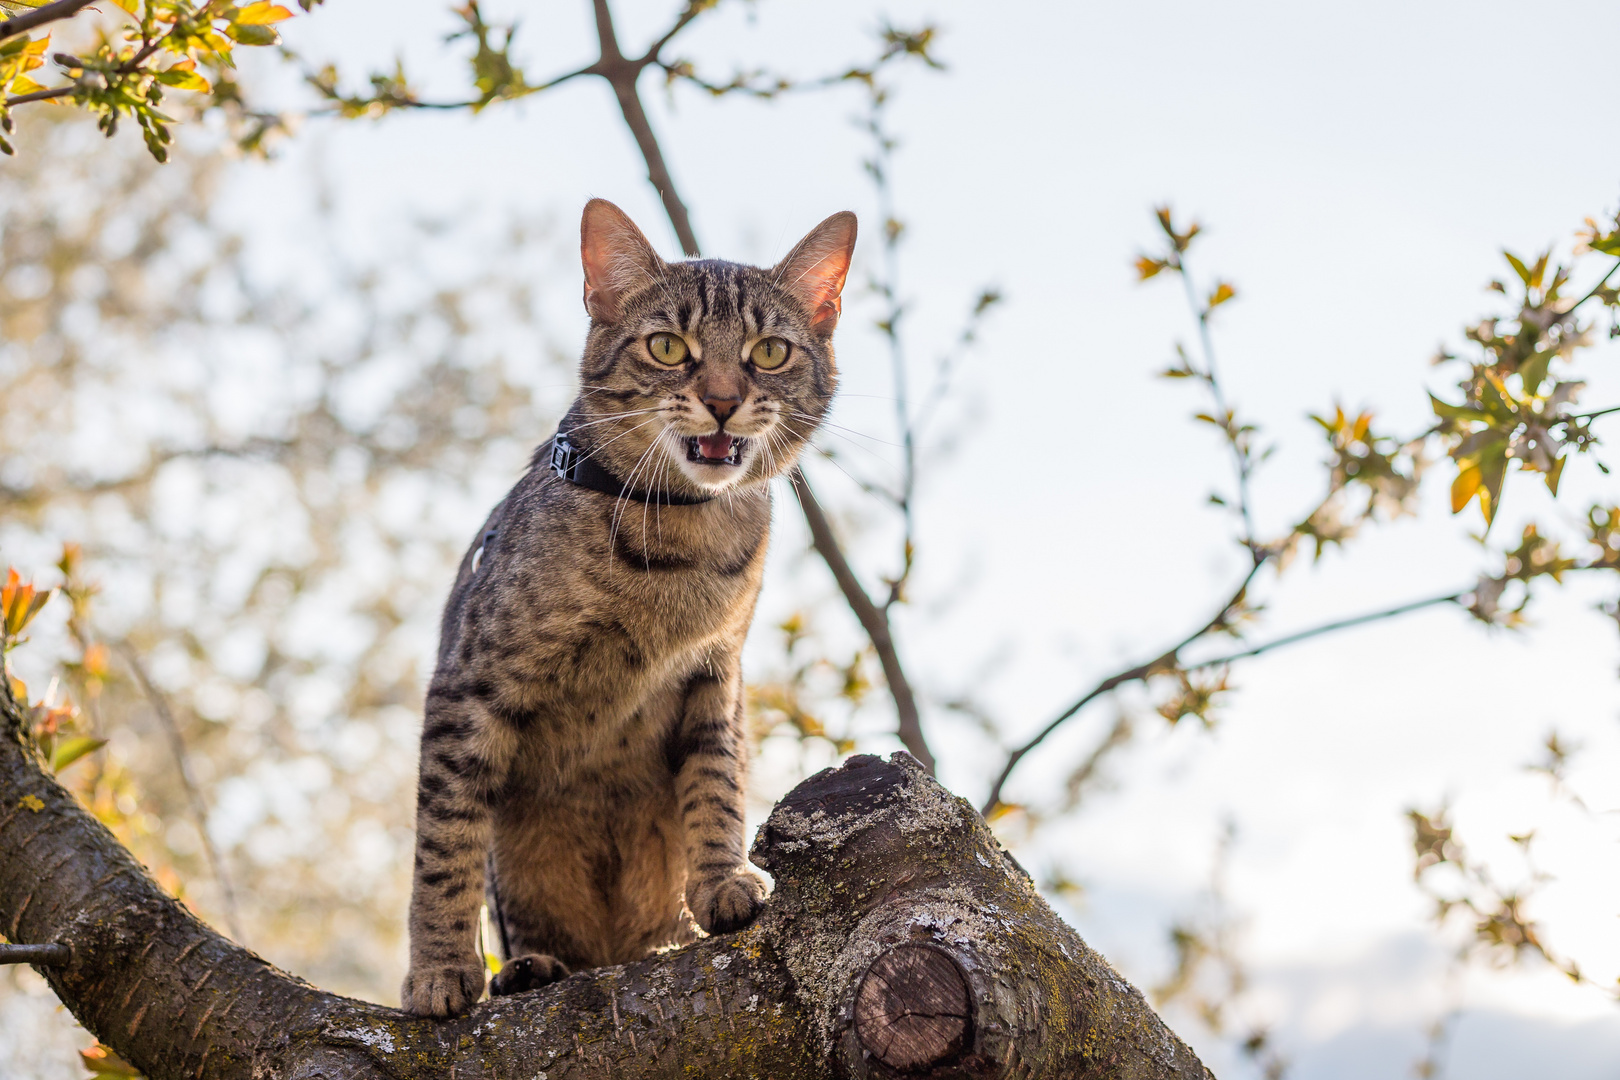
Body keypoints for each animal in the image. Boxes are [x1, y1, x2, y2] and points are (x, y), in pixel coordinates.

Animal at [401, 198, 861, 1016]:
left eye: (770, 352)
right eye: (667, 346)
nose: (721, 401)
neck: (677, 533)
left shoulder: (718, 674)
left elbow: (717, 785)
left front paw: (720, 882)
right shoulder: (468, 685)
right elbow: (443, 841)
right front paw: (439, 968)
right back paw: (529, 969)